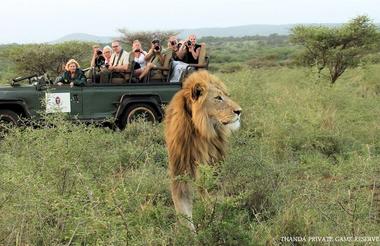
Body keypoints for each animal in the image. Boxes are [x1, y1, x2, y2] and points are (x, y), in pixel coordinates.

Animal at [164, 70, 242, 231]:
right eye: (218, 98)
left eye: (227, 96)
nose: (239, 111)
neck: (201, 130)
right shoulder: (180, 171)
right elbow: (184, 211)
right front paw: (191, 234)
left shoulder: (215, 168)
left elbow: (214, 200)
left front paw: (216, 225)